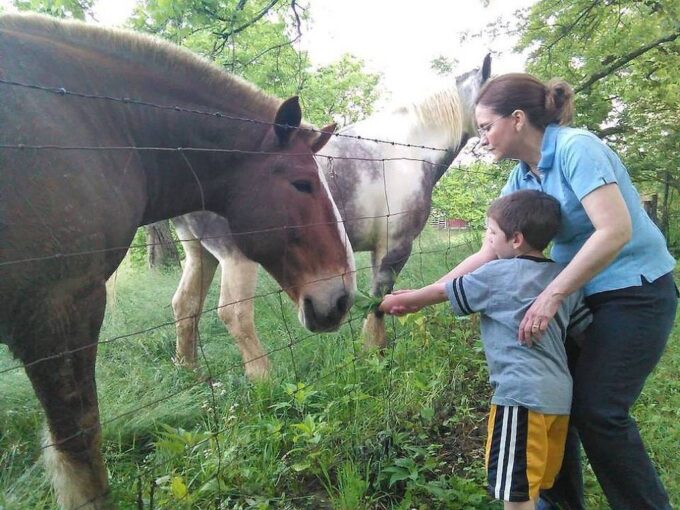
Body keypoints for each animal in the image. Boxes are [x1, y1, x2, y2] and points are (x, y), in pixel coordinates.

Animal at [173, 54, 492, 378]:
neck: (407, 153)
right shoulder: (394, 246)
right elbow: (379, 300)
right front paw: (374, 355)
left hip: (201, 254)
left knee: (185, 305)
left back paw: (191, 372)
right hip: (236, 258)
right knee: (234, 313)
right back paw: (265, 381)